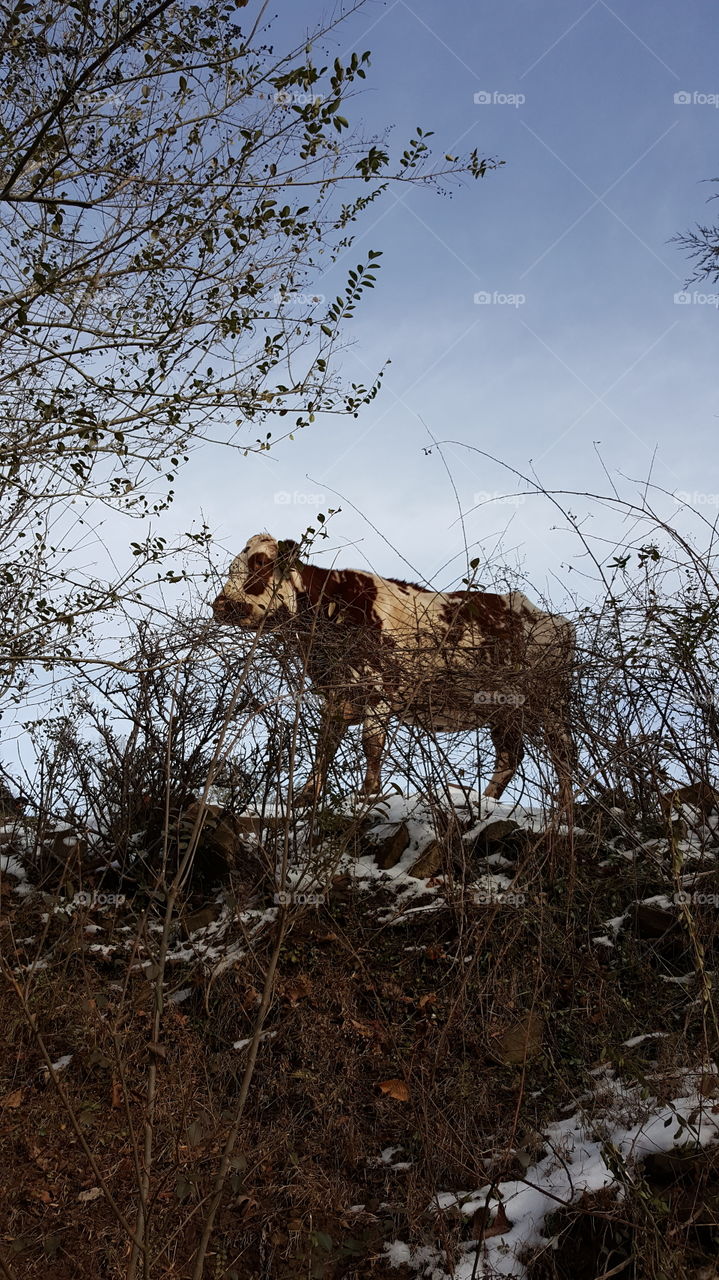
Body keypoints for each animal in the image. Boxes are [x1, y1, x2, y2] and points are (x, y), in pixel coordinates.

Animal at [212, 534, 575, 809]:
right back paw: (484, 802)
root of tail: (551, 618)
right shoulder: (338, 694)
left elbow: (371, 743)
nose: (220, 605)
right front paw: (306, 797)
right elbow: (324, 746)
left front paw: (368, 794)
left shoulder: (379, 688)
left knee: (562, 753)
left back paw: (564, 809)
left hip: (550, 702)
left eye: (260, 565)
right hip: (501, 708)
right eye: (231, 568)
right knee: (510, 756)